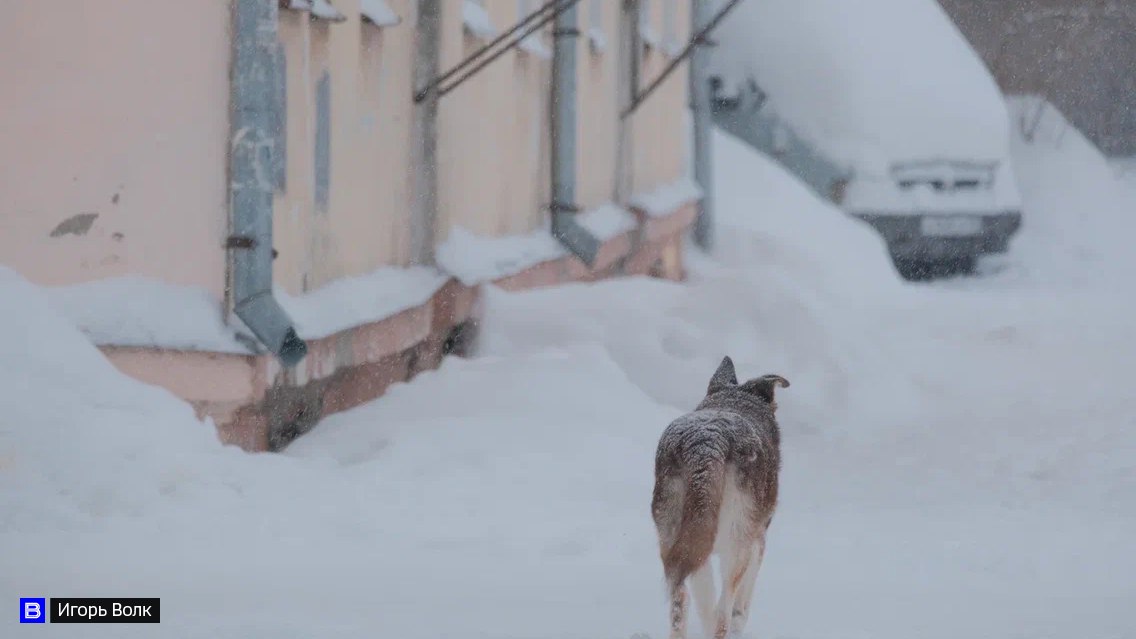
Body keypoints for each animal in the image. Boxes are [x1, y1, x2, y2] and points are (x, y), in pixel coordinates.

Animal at [654, 354, 786, 636]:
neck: (733, 401)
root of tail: (706, 444)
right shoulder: (757, 540)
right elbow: (742, 601)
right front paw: (739, 620)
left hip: (674, 539)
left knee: (682, 602)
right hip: (735, 545)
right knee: (723, 614)